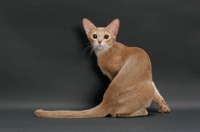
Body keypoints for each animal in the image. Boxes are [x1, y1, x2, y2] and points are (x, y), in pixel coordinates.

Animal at [34, 18, 170, 118]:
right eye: (94, 36)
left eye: (106, 37)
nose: (99, 41)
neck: (104, 52)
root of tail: (106, 103)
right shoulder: (112, 74)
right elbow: (156, 91)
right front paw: (163, 107)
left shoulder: (113, 72)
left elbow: (157, 92)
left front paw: (163, 107)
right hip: (147, 86)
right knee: (116, 113)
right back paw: (143, 111)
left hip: (147, 87)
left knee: (117, 113)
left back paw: (143, 111)